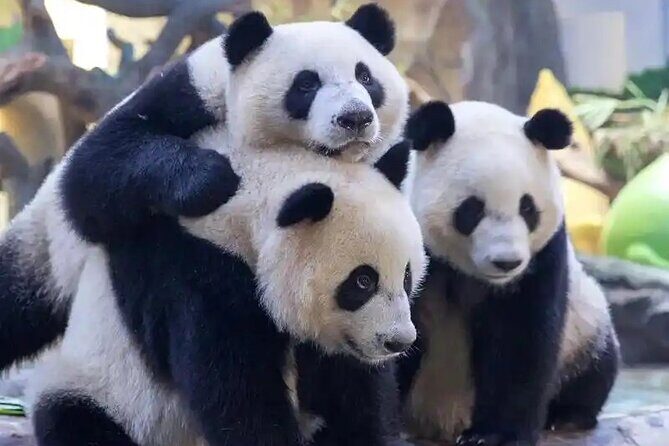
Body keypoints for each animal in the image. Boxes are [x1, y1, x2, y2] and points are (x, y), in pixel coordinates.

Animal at [0, 3, 408, 370]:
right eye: (306, 83)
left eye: (366, 78)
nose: (355, 118)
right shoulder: (188, 92)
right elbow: (95, 171)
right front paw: (210, 178)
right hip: (44, 253)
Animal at [27, 131, 426, 446]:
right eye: (363, 281)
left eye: (407, 275)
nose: (398, 341)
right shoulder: (196, 273)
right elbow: (236, 393)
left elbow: (352, 391)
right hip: (103, 390)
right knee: (79, 422)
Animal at [397, 101, 620, 446]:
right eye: (472, 209)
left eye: (527, 208)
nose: (507, 262)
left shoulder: (543, 258)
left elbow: (519, 339)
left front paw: (493, 435)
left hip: (586, 327)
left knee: (596, 366)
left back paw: (566, 416)